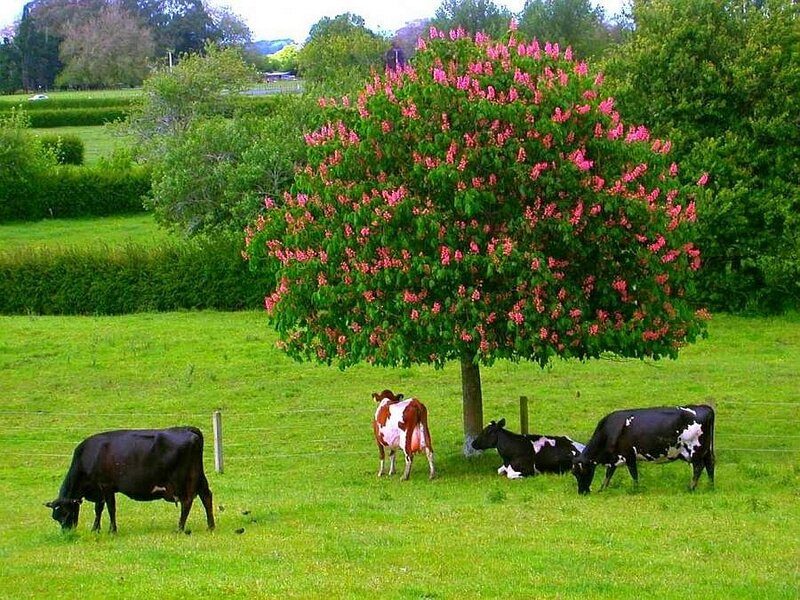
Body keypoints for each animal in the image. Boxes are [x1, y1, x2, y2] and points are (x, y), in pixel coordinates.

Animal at [45, 427, 215, 533]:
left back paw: (179, 528)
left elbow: (110, 508)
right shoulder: (99, 490)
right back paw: (210, 526)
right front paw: (95, 529)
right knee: (206, 496)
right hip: (199, 476)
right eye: (56, 517)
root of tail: (187, 428)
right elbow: (99, 509)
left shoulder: (106, 485)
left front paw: (112, 530)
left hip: (181, 480)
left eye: (66, 513)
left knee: (187, 502)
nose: (67, 533)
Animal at [572, 405, 715, 495]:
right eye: (574, 473)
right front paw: (602, 489)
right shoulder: (614, 458)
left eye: (581, 472)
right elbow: (608, 474)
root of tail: (705, 407)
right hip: (707, 450)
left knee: (699, 467)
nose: (582, 492)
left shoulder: (629, 455)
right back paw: (710, 486)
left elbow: (634, 474)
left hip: (695, 450)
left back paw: (691, 488)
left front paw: (635, 490)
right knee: (710, 464)